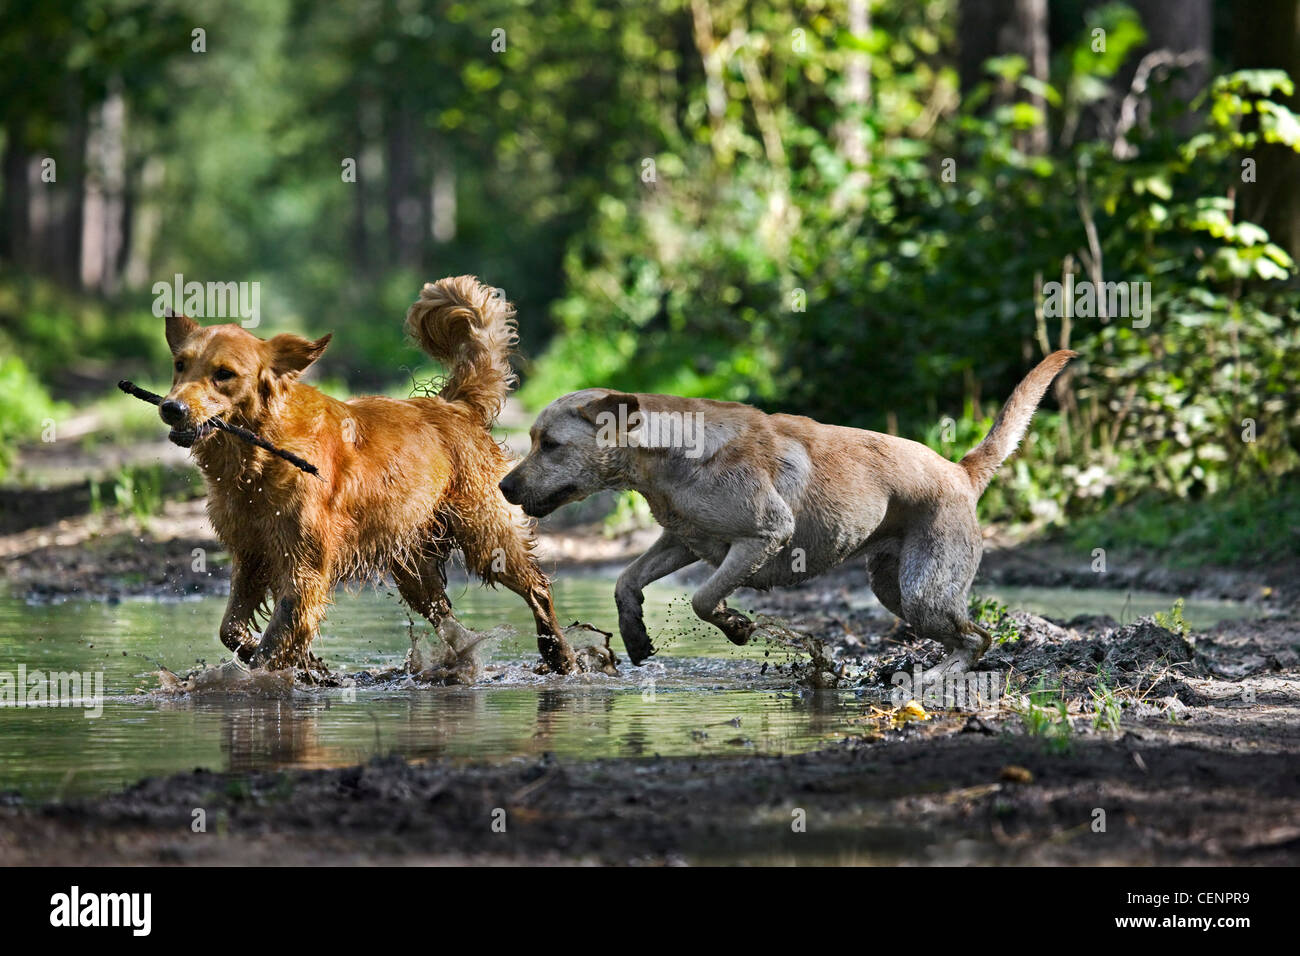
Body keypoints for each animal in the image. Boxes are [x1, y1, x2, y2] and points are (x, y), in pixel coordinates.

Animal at [157, 273, 579, 676]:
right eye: (179, 365)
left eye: (223, 374)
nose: (171, 408)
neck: (257, 456)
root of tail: (454, 406)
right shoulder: (250, 554)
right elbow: (231, 629)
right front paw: (305, 664)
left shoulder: (304, 568)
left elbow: (276, 640)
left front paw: (265, 674)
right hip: (415, 568)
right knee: (448, 620)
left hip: (488, 538)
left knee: (538, 588)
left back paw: (558, 653)